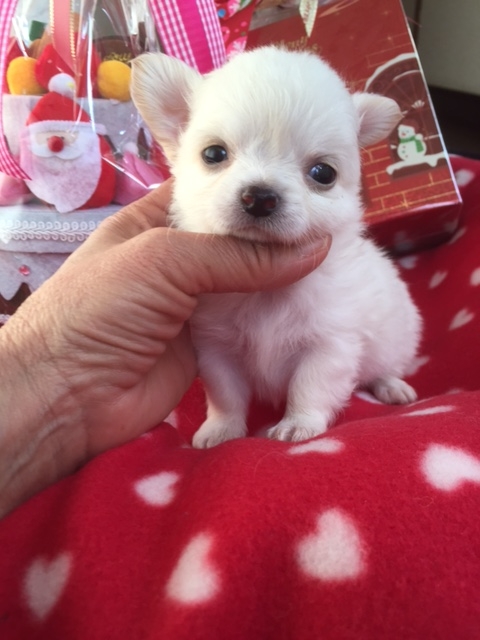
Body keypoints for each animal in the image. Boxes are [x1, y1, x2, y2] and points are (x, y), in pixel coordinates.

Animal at [131, 46, 422, 448]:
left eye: (323, 174)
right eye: (214, 154)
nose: (260, 197)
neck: (266, 295)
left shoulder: (329, 344)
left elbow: (309, 387)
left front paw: (299, 425)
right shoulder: (217, 350)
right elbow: (225, 395)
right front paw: (221, 431)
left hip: (396, 338)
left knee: (385, 367)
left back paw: (393, 387)